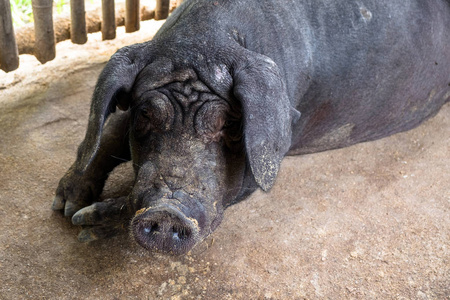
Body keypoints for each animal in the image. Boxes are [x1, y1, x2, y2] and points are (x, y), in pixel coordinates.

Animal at [53, 0, 450, 254]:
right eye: (145, 116)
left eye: (229, 124)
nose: (167, 211)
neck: (205, 36)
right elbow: (109, 131)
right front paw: (65, 206)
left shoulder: (261, 162)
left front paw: (81, 217)